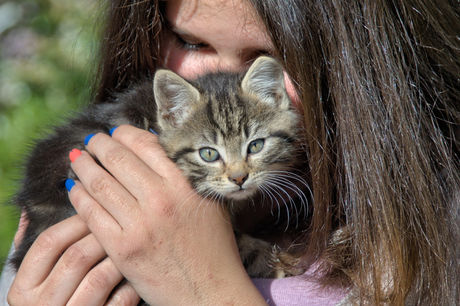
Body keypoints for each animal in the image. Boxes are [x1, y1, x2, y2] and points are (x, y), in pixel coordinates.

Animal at [9, 56, 310, 278]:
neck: (153, 123)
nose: (239, 178)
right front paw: (273, 262)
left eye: (256, 146)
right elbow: (239, 244)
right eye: (209, 154)